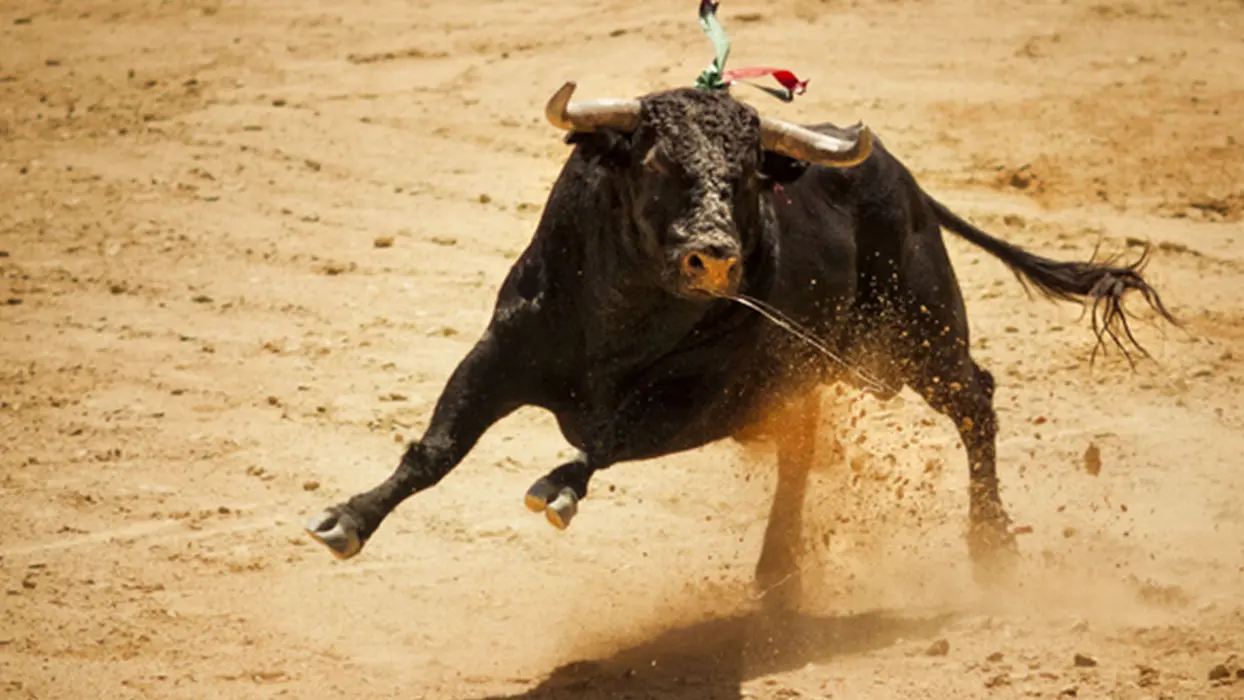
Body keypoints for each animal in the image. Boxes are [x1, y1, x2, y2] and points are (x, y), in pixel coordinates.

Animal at [301, 82, 1174, 596]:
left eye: (752, 172)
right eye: (654, 157)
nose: (715, 255)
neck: (622, 316)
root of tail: (909, 183)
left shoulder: (700, 396)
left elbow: (608, 437)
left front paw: (558, 490)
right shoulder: (499, 352)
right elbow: (435, 447)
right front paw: (346, 520)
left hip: (918, 335)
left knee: (974, 401)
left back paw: (990, 546)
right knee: (805, 444)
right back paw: (777, 567)